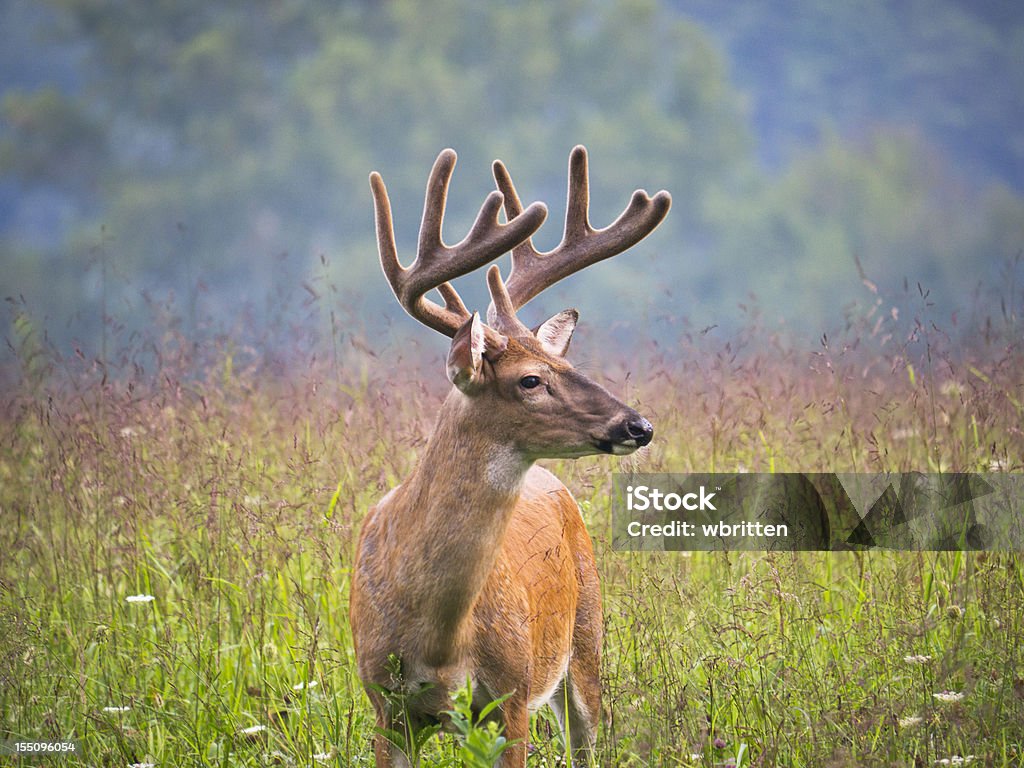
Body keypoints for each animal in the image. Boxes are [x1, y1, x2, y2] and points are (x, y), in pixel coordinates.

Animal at [352, 145, 671, 768]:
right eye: (530, 380)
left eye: (569, 365)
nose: (639, 425)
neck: (438, 636)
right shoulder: (385, 704)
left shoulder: (512, 695)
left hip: (586, 636)